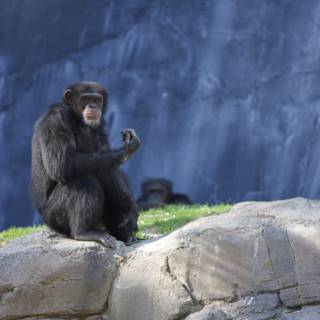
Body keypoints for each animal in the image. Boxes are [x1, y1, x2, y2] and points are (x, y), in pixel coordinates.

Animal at [31, 81, 140, 249]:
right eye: (85, 98)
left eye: (97, 99)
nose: (92, 106)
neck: (77, 119)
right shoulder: (54, 120)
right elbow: (61, 163)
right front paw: (126, 149)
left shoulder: (101, 125)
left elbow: (110, 165)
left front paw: (131, 213)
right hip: (55, 217)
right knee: (84, 179)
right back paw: (85, 232)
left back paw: (125, 230)